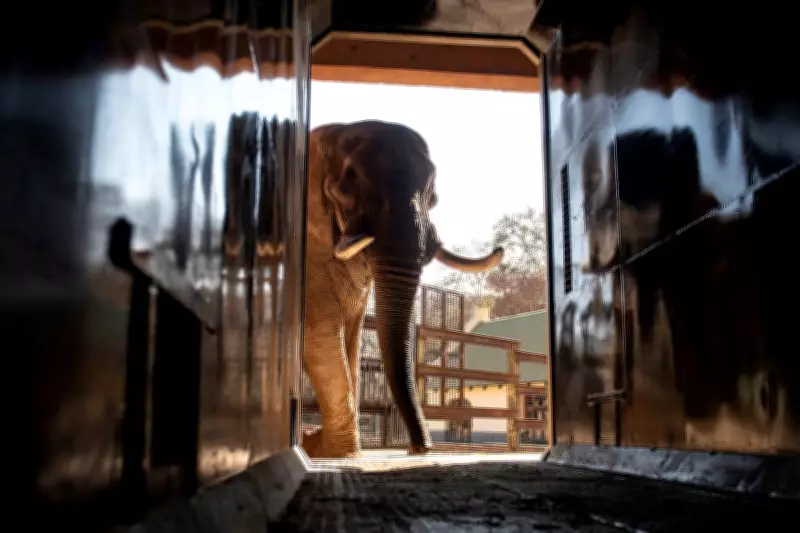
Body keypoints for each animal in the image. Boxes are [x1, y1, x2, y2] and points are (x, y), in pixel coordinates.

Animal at [302, 120, 504, 459]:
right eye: (344, 191)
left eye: (433, 199)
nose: (417, 449)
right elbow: (320, 336)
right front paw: (334, 452)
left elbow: (350, 343)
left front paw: (322, 447)